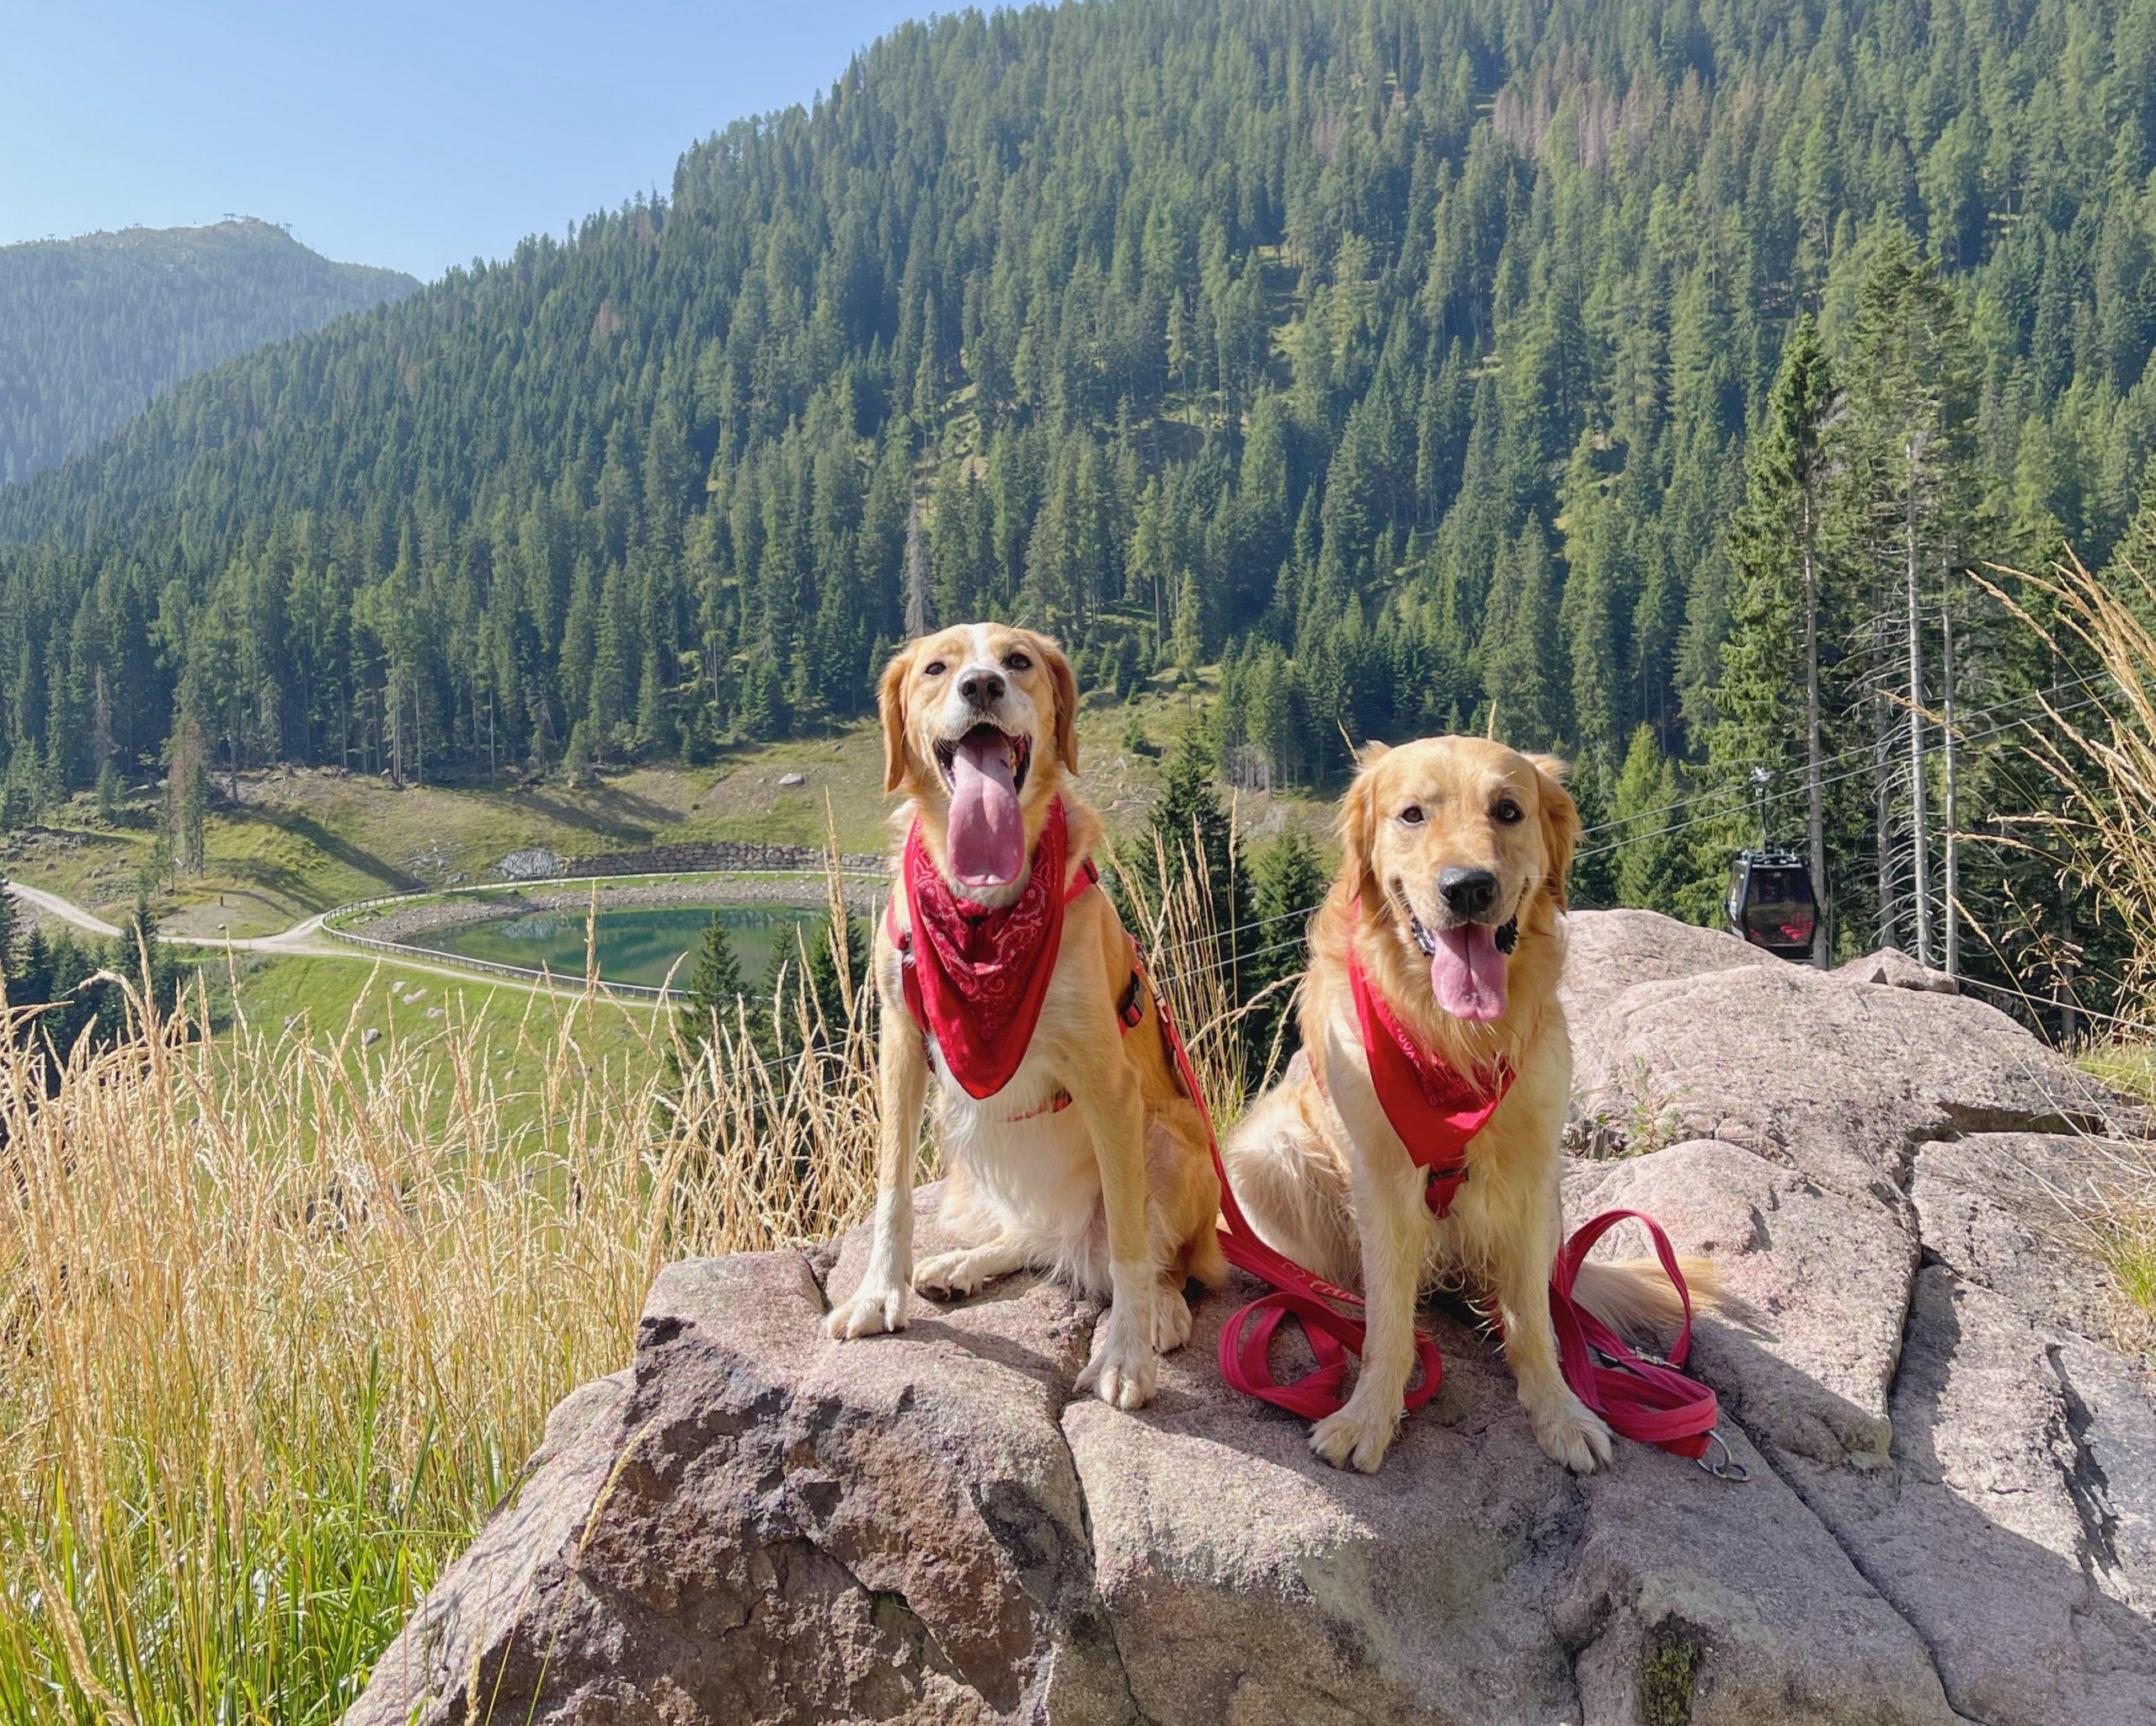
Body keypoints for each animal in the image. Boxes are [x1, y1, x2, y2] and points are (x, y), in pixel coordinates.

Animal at [823, 625, 1225, 1404]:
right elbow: (892, 1190)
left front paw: (1126, 1356)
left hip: (1170, 1137)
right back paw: (967, 1263)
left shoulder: (1110, 1086)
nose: (981, 685)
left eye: (1018, 662)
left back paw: (1161, 1307)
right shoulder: (901, 1042)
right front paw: (878, 1294)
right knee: (1033, 1237)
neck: (984, 912)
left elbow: (1130, 1244)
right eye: (936, 668)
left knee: (1155, 1257)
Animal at [1225, 732, 1707, 1473]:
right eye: (1412, 814)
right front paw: (1369, 1414)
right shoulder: (1383, 1176)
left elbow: (1534, 1318)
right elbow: (1390, 1321)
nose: (1469, 887)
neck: (1454, 1040)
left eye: (1508, 810)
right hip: (1266, 1154)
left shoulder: (1534, 1172)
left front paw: (1559, 1410)